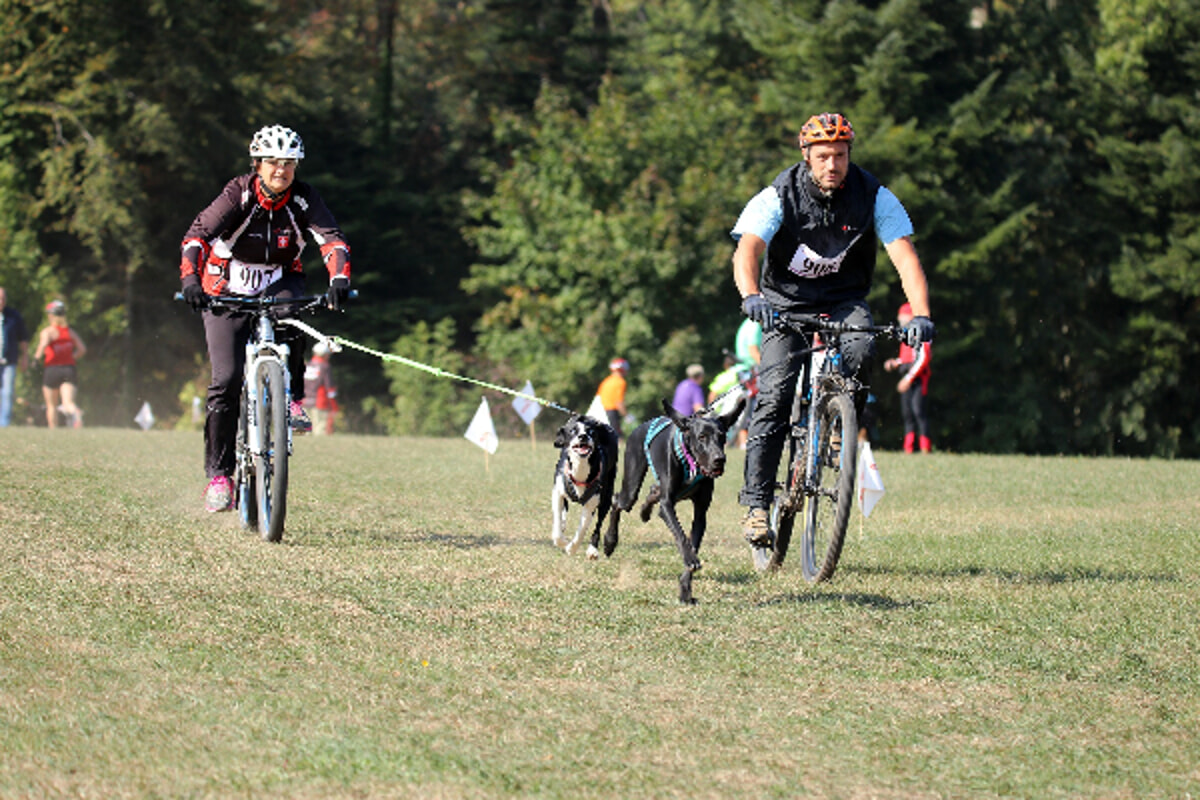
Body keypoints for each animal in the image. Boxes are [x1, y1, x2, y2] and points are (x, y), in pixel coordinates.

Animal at [549, 412, 614, 556]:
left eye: (591, 432)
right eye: (572, 431)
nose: (583, 436)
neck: (581, 467)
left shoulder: (592, 502)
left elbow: (583, 529)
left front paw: (571, 548)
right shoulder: (558, 492)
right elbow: (557, 521)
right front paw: (562, 541)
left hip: (607, 496)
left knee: (598, 524)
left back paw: (592, 550)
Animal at [604, 398, 744, 604]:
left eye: (722, 437)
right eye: (702, 437)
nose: (719, 459)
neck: (691, 461)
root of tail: (642, 425)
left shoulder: (700, 514)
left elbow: (693, 542)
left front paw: (685, 590)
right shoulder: (667, 504)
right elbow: (681, 535)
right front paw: (690, 559)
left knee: (653, 491)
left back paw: (645, 511)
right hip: (631, 483)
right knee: (618, 501)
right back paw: (609, 542)